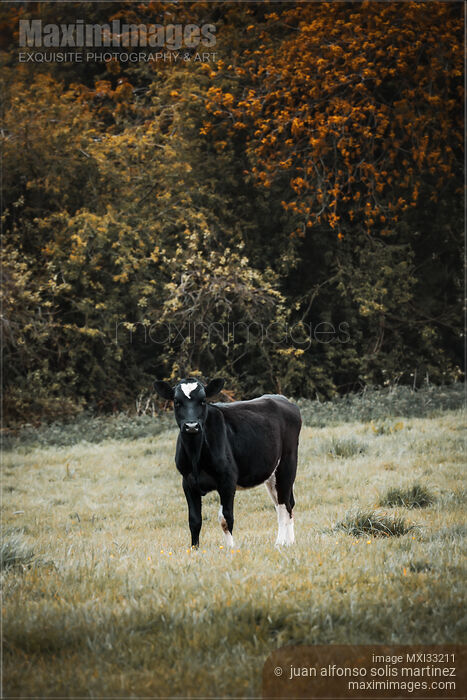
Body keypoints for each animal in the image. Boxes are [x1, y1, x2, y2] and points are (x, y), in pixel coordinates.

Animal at [153, 377, 301, 548]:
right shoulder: (188, 482)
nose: (191, 426)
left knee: (284, 505)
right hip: (271, 474)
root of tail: (282, 399)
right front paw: (194, 549)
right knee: (283, 504)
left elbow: (225, 518)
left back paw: (281, 543)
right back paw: (289, 541)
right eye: (177, 402)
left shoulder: (227, 480)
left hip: (287, 464)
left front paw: (230, 548)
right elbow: (194, 520)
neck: (195, 456)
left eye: (203, 401)